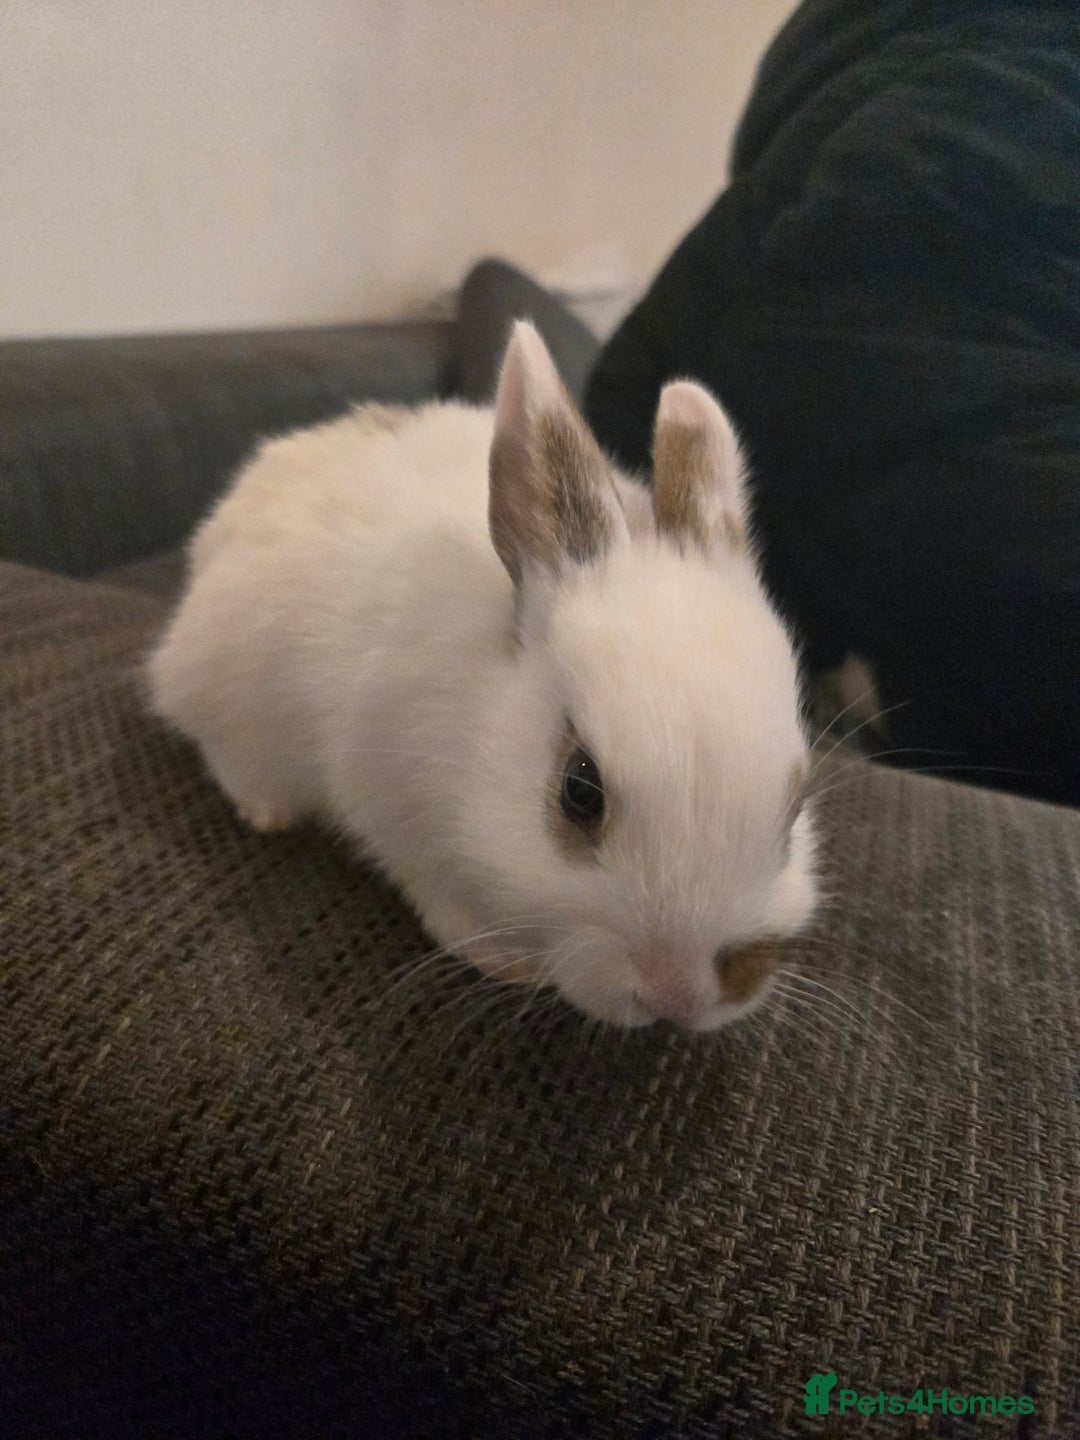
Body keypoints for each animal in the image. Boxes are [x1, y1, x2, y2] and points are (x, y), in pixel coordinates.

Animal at [147, 321, 818, 1031]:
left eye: (796, 808)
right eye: (580, 790)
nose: (677, 995)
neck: (471, 724)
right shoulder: (394, 812)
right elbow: (439, 896)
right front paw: (504, 961)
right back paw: (267, 809)